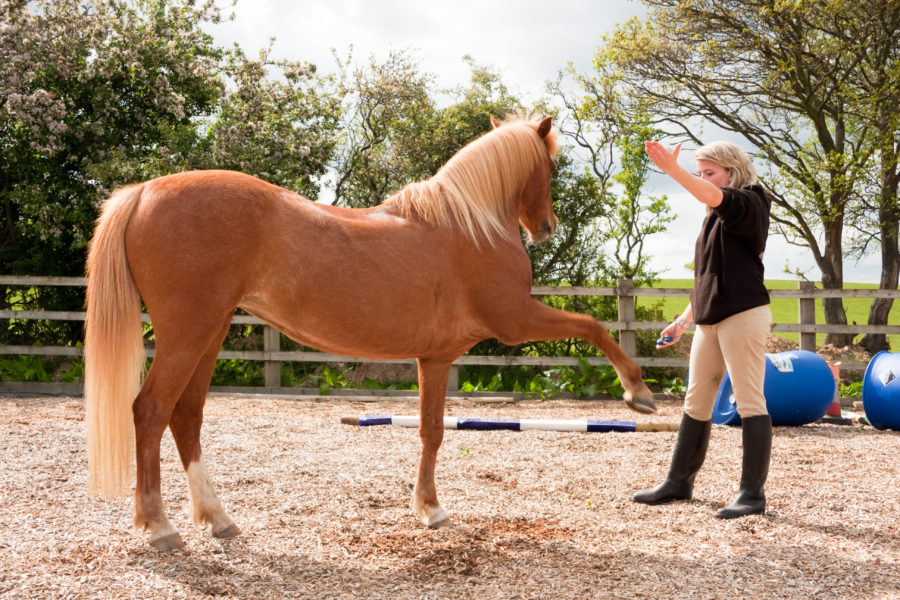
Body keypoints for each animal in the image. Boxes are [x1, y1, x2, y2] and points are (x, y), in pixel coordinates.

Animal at [86, 115, 652, 552]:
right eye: (550, 167)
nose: (546, 227)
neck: (469, 225)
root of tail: (143, 191)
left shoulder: (436, 358)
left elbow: (431, 431)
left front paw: (429, 509)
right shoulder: (515, 320)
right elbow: (594, 326)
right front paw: (637, 393)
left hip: (211, 330)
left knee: (186, 416)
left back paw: (217, 518)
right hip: (189, 332)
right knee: (150, 411)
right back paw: (159, 526)